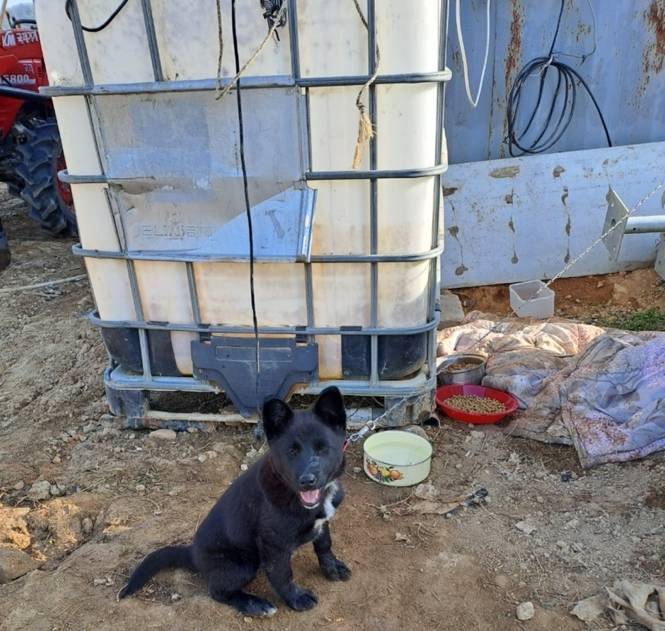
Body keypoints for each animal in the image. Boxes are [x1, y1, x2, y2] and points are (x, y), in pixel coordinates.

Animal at [116, 388, 350, 616]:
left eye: (322, 449)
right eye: (292, 451)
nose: (307, 481)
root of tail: (192, 554)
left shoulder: (322, 524)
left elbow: (324, 545)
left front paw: (332, 568)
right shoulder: (273, 545)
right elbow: (283, 574)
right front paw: (296, 598)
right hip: (243, 564)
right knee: (218, 592)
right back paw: (254, 604)